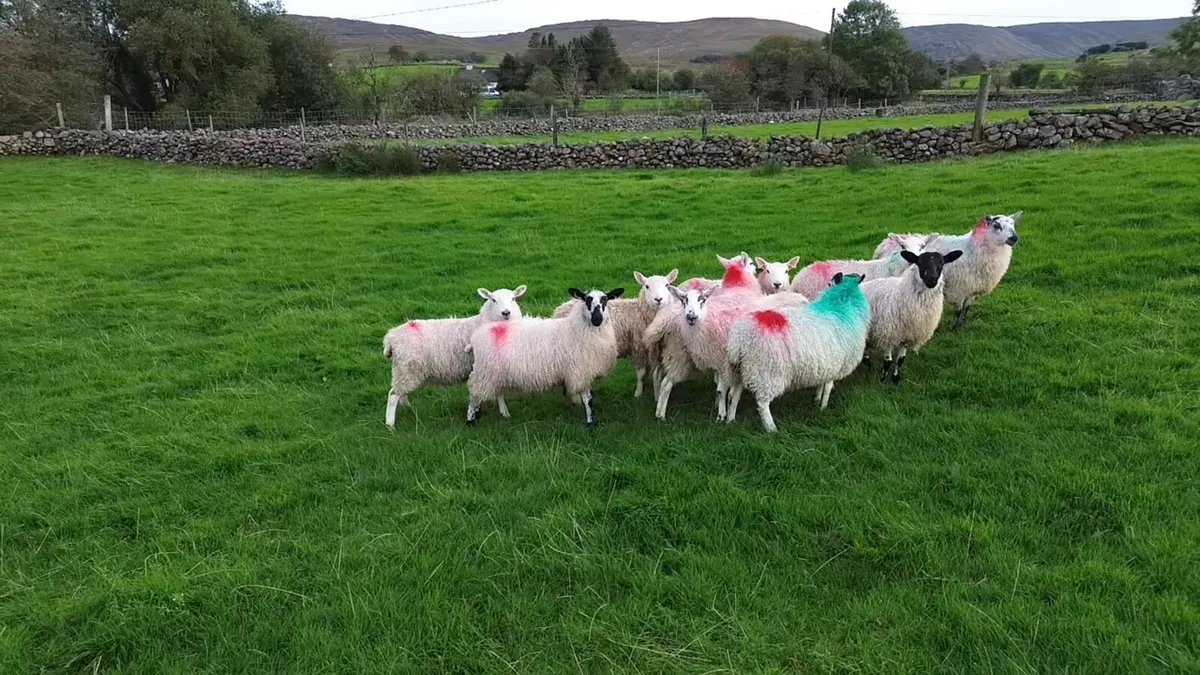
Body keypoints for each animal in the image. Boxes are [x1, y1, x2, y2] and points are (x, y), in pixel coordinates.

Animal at [383, 286, 526, 427]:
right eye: (493, 300)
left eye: (513, 298)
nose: (506, 313)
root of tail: (391, 337)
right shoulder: (488, 367)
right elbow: (497, 393)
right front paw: (502, 412)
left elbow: (498, 392)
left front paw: (500, 413)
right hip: (407, 369)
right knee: (393, 394)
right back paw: (390, 424)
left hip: (403, 370)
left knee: (400, 393)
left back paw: (407, 407)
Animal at [466, 288, 623, 426]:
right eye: (586, 299)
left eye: (605, 300)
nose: (597, 319)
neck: (575, 329)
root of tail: (476, 336)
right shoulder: (580, 370)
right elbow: (587, 399)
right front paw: (590, 422)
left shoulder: (585, 371)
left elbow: (588, 398)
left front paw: (591, 420)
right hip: (484, 372)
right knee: (474, 394)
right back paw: (470, 420)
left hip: (494, 373)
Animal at [551, 270, 678, 398]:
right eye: (647, 286)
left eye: (667, 285)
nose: (658, 299)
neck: (640, 313)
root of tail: (559, 308)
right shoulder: (638, 347)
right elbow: (641, 373)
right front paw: (638, 392)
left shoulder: (654, 349)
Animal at [725, 273, 871, 432]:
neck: (840, 308)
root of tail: (740, 339)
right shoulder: (836, 364)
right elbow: (827, 388)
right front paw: (823, 407)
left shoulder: (825, 364)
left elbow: (821, 384)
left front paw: (817, 400)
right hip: (767, 372)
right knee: (762, 403)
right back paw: (771, 428)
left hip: (739, 369)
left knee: (734, 395)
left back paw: (730, 419)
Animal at [860, 249, 963, 384]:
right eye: (919, 262)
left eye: (941, 262)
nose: (931, 279)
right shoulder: (888, 332)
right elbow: (888, 361)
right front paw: (882, 380)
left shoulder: (908, 334)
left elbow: (900, 360)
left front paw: (895, 379)